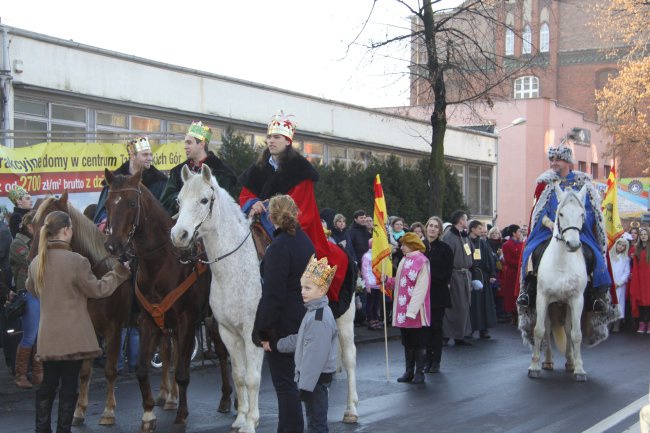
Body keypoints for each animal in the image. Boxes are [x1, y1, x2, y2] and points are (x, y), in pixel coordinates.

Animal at [101, 170, 230, 432]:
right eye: (108, 205)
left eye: (132, 203)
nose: (113, 245)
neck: (162, 262)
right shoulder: (148, 321)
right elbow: (142, 369)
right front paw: (148, 413)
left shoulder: (186, 321)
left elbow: (181, 372)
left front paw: (181, 415)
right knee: (220, 352)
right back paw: (223, 398)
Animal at [172, 165, 360, 426]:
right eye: (179, 201)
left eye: (204, 200)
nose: (178, 235)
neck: (235, 268)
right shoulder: (228, 333)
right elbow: (239, 376)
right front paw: (240, 418)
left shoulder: (253, 332)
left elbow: (252, 378)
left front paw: (251, 421)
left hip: (344, 320)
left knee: (350, 358)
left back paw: (351, 409)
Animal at [528, 184, 588, 380]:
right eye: (560, 213)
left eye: (582, 214)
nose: (573, 244)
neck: (562, 263)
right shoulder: (542, 298)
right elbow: (539, 330)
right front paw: (534, 366)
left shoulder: (577, 300)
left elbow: (576, 334)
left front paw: (579, 369)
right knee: (547, 328)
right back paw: (547, 361)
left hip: (566, 305)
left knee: (568, 329)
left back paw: (570, 362)